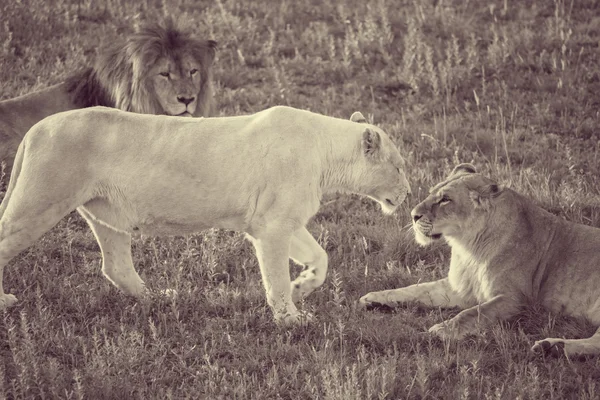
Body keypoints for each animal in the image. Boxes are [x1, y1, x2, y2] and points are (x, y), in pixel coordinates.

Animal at [0, 104, 410, 324]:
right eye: (400, 166)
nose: (408, 194)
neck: (328, 158)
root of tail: (36, 128)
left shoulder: (281, 220)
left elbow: (320, 257)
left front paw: (302, 288)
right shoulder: (271, 226)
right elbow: (276, 277)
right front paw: (290, 318)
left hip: (106, 213)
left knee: (114, 266)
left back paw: (160, 298)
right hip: (40, 203)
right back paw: (5, 302)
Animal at [360, 164, 600, 358]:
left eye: (445, 199)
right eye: (431, 193)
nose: (413, 215)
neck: (468, 248)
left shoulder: (517, 300)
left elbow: (471, 313)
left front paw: (442, 331)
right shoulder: (458, 288)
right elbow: (414, 289)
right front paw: (374, 298)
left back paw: (551, 348)